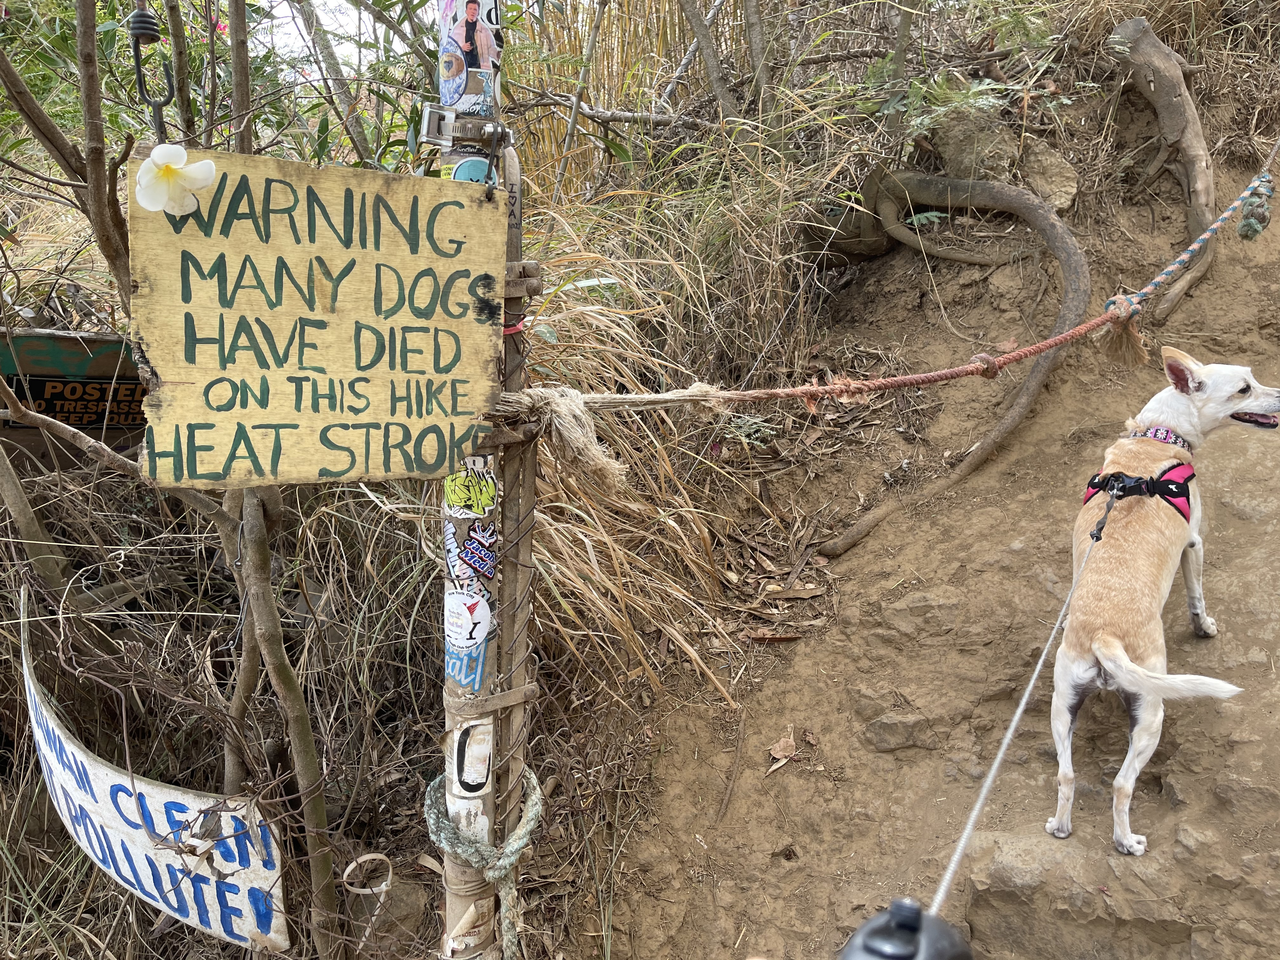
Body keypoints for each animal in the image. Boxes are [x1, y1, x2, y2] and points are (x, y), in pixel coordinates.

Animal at [1044, 350, 1274, 860]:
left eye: (1251, 378)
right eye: (1244, 389)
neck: (1155, 438)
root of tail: (1104, 634)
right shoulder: (1195, 544)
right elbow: (1197, 596)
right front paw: (1205, 627)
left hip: (1062, 705)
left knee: (1066, 776)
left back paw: (1060, 827)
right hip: (1151, 713)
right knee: (1122, 785)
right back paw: (1126, 841)